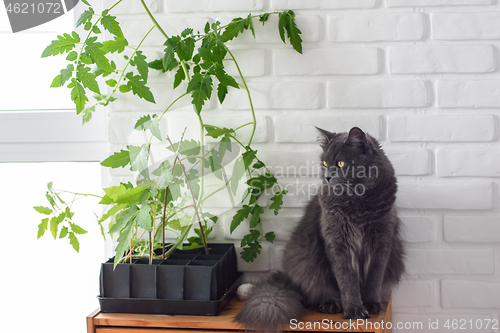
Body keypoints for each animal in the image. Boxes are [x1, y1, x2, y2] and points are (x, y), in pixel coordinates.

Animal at [236, 126, 404, 330]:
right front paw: (354, 311)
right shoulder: (338, 243)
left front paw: (372, 305)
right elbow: (347, 282)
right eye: (324, 163)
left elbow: (374, 279)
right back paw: (331, 305)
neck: (357, 202)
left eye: (340, 163)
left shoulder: (381, 241)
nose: (327, 176)